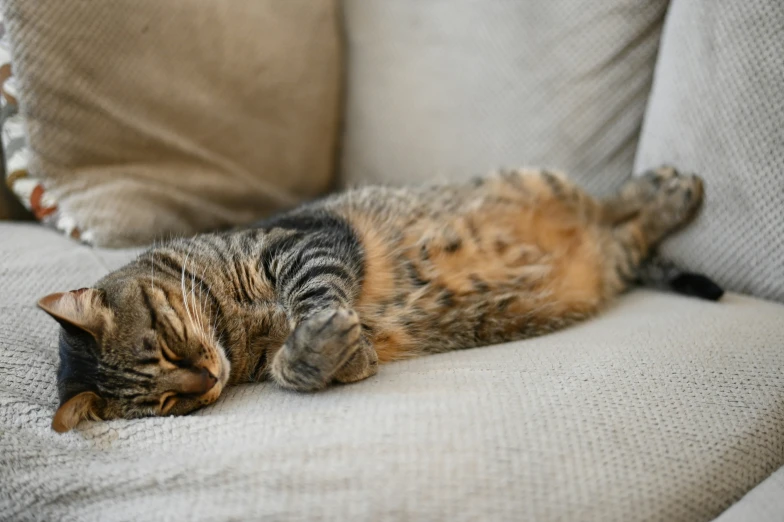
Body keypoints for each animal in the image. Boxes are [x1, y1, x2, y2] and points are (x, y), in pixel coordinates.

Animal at [36, 167, 724, 430]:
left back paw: (668, 188)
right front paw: (330, 353)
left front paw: (319, 338)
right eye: (169, 403)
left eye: (169, 336)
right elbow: (311, 362)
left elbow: (314, 294)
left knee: (614, 203)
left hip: (538, 180)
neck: (235, 331)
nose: (205, 379)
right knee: (623, 232)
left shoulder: (305, 241)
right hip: (608, 259)